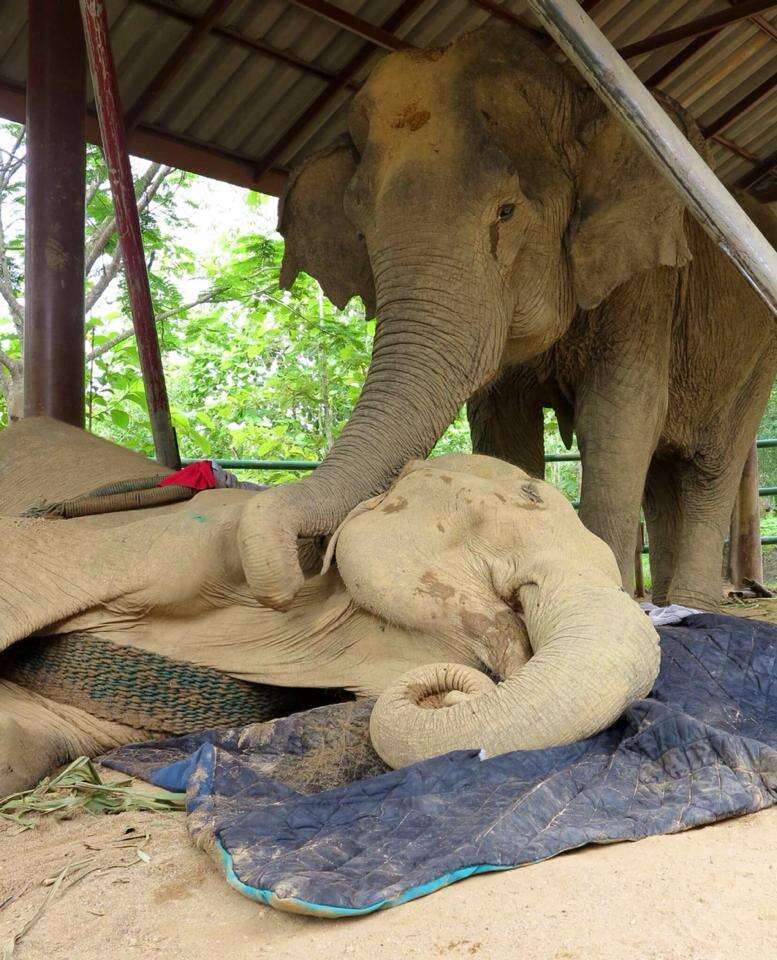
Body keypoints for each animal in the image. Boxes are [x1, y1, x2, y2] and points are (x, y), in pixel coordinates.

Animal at [239, 22, 776, 616]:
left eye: (506, 211)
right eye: (360, 229)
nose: (300, 564)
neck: (574, 96)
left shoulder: (646, 279)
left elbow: (621, 411)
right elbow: (501, 419)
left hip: (758, 354)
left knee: (709, 466)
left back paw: (694, 605)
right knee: (662, 475)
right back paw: (665, 602)